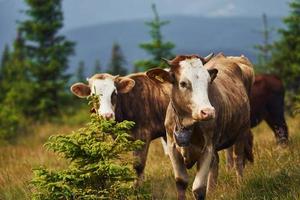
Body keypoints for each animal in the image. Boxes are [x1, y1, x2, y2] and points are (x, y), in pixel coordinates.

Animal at [146, 52, 254, 199]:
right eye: (183, 83)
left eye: (208, 81)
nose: (208, 112)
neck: (187, 123)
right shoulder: (173, 148)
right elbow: (181, 182)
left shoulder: (207, 148)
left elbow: (198, 188)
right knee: (216, 163)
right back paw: (212, 191)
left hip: (242, 131)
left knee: (238, 159)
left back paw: (240, 184)